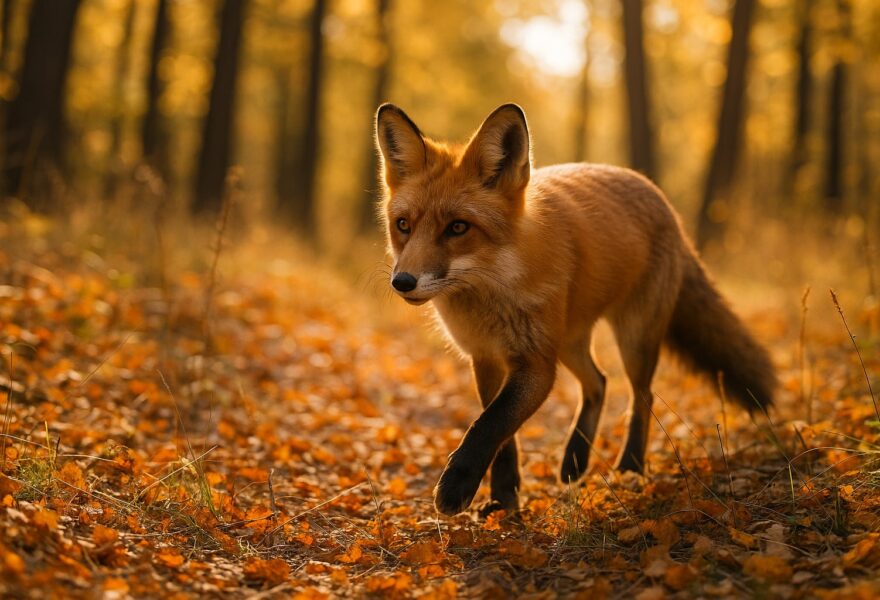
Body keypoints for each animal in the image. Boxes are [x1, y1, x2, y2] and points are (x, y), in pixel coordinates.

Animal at [374, 102, 776, 517]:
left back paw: (630, 466)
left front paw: (458, 485)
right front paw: (504, 499)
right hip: (569, 343)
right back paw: (575, 460)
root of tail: (658, 195)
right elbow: (502, 438)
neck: (494, 289)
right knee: (599, 382)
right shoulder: (485, 358)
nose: (403, 281)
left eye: (457, 227)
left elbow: (489, 425)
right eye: (403, 225)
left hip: (633, 339)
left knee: (641, 396)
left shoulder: (536, 363)